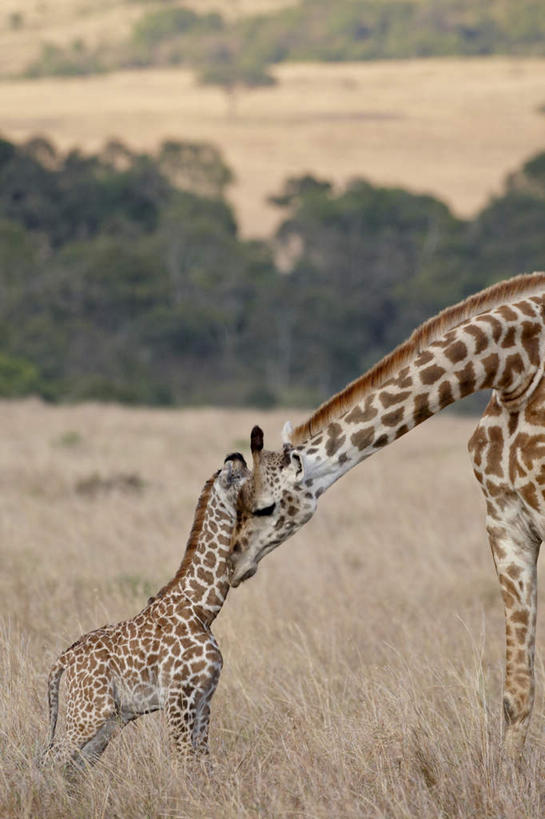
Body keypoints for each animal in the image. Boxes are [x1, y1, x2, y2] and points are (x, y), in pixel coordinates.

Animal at [44, 454, 249, 768]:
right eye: (242, 478)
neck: (202, 608)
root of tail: (64, 659)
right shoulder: (178, 698)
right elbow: (183, 761)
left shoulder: (205, 699)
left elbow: (204, 762)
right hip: (89, 713)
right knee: (51, 759)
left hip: (110, 720)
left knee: (72, 765)